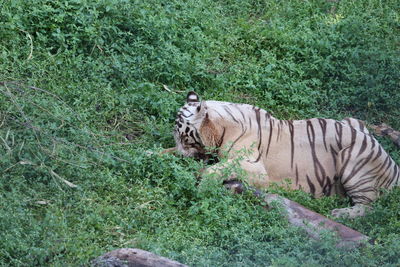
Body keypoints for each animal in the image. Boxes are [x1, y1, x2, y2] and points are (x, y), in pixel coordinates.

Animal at [174, 91, 400, 219]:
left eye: (184, 137)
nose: (181, 155)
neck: (221, 128)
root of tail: (394, 167)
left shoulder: (255, 166)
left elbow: (218, 168)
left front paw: (201, 184)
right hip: (352, 121)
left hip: (355, 159)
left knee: (370, 207)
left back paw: (340, 214)